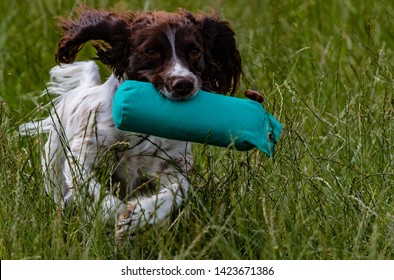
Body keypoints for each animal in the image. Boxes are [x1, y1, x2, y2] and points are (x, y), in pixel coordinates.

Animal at [22, 7, 243, 241]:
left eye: (194, 51)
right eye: (151, 51)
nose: (184, 83)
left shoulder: (173, 162)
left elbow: (176, 191)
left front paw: (138, 216)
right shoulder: (83, 156)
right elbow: (95, 191)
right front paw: (116, 214)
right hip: (53, 164)